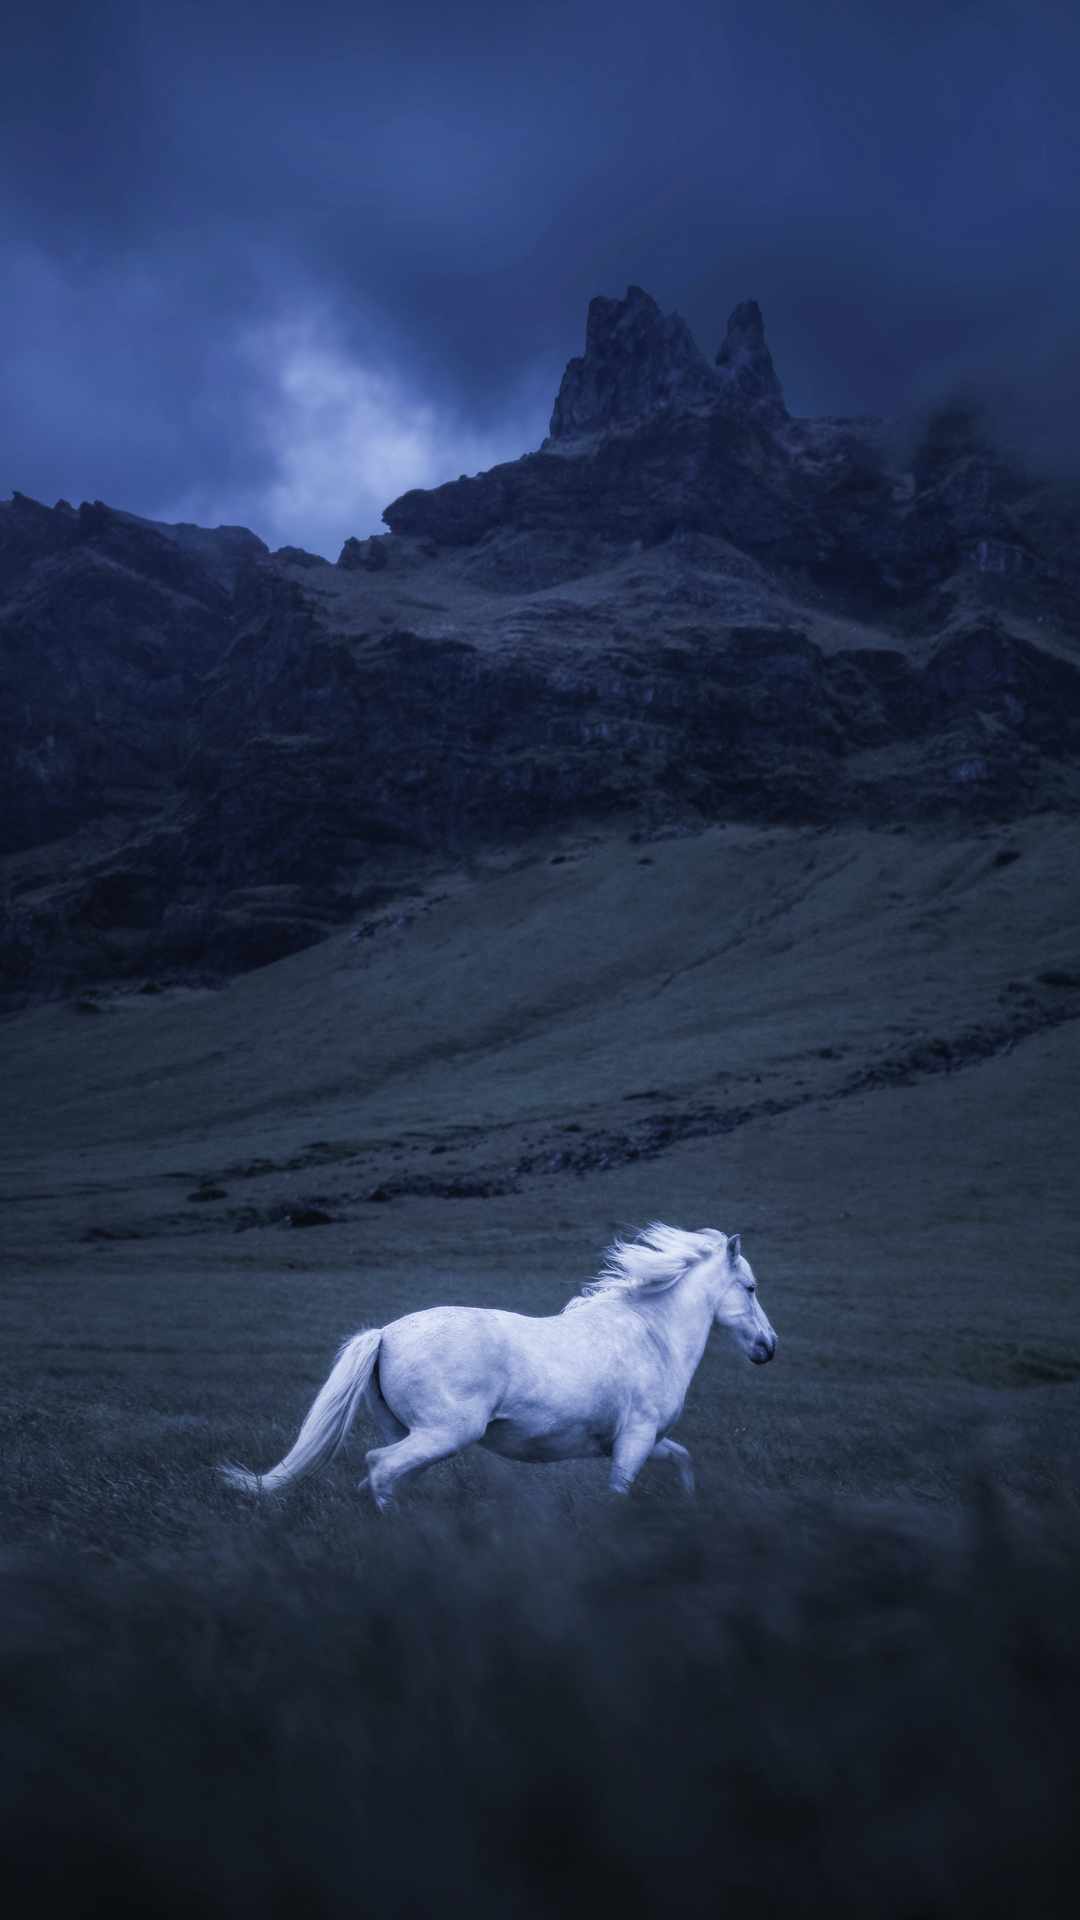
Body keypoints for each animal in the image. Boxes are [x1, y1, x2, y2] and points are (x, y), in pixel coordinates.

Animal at [220, 1222, 777, 1510]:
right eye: (750, 1288)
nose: (768, 1347)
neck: (652, 1335)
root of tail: (386, 1334)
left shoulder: (640, 1440)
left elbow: (683, 1460)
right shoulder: (635, 1439)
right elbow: (619, 1492)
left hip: (410, 1432)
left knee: (382, 1476)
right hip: (446, 1433)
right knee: (379, 1469)